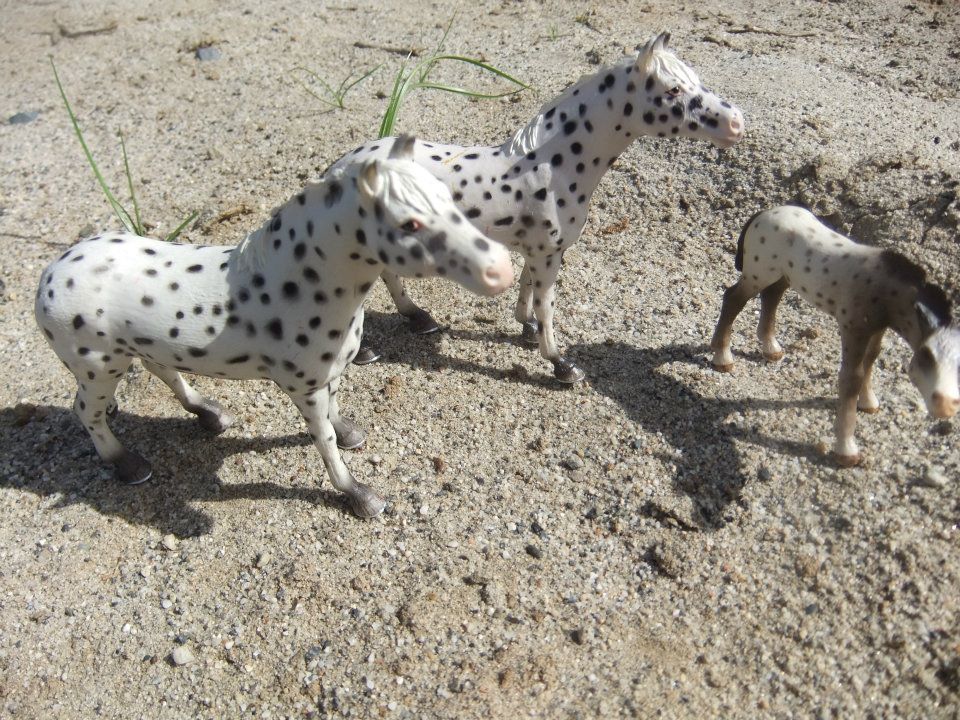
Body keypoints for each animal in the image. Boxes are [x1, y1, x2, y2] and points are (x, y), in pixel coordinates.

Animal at [33, 136, 512, 516]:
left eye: (448, 198)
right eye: (408, 223)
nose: (501, 270)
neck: (294, 285)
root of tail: (48, 279)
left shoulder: (329, 377)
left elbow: (336, 418)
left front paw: (352, 434)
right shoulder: (302, 389)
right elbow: (324, 441)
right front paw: (360, 496)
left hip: (136, 349)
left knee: (162, 369)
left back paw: (210, 414)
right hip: (99, 369)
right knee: (88, 412)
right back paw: (128, 465)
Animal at [342, 30, 748, 382]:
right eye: (673, 89)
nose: (736, 124)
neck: (551, 165)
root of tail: (343, 166)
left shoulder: (538, 251)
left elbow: (527, 289)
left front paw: (526, 328)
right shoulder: (547, 253)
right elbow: (546, 306)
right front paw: (560, 364)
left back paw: (419, 319)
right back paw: (367, 351)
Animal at [708, 207, 956, 466]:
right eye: (926, 356)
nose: (947, 406)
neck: (885, 288)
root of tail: (764, 213)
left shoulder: (876, 329)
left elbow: (871, 360)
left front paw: (869, 403)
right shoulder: (852, 328)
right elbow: (851, 378)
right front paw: (846, 451)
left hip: (782, 277)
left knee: (772, 296)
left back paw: (771, 349)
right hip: (759, 273)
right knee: (733, 299)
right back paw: (722, 358)